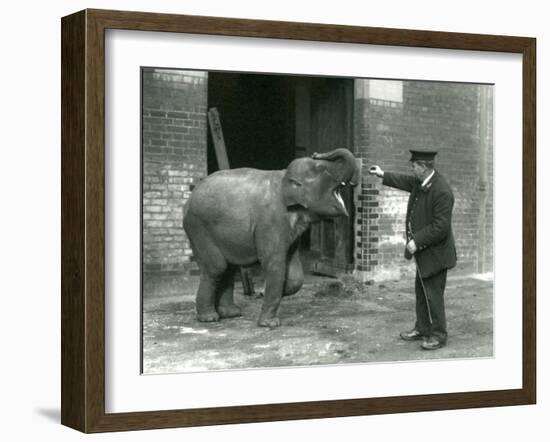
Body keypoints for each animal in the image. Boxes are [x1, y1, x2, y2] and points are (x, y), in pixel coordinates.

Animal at [183, 150, 360, 326]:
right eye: (320, 168)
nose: (317, 153)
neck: (284, 177)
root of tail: (189, 199)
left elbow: (295, 272)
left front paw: (273, 292)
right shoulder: (271, 222)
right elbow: (274, 262)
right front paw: (270, 323)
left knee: (228, 268)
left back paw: (230, 314)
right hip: (198, 229)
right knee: (216, 268)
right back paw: (209, 318)